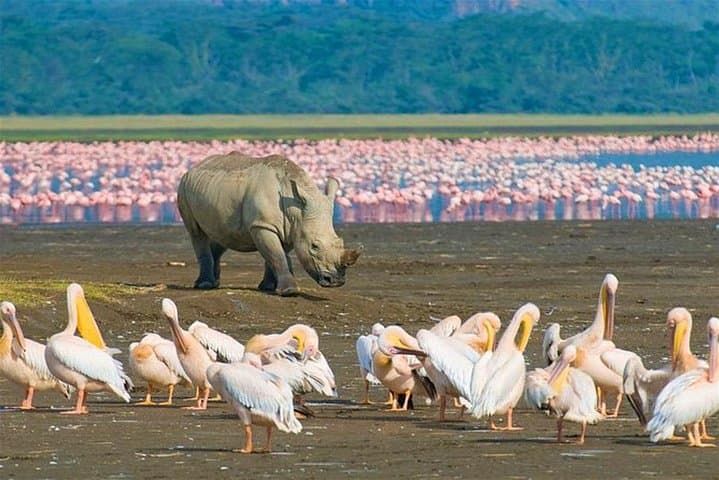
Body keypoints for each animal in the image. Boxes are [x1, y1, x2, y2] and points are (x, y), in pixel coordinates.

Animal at [177, 152, 361, 295]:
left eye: (340, 241)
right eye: (314, 246)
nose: (336, 281)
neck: (295, 210)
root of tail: (195, 166)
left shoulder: (291, 229)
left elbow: (276, 255)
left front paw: (268, 287)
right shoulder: (263, 225)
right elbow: (277, 254)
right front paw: (289, 292)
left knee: (223, 235)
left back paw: (214, 284)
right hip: (183, 186)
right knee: (196, 232)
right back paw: (204, 285)